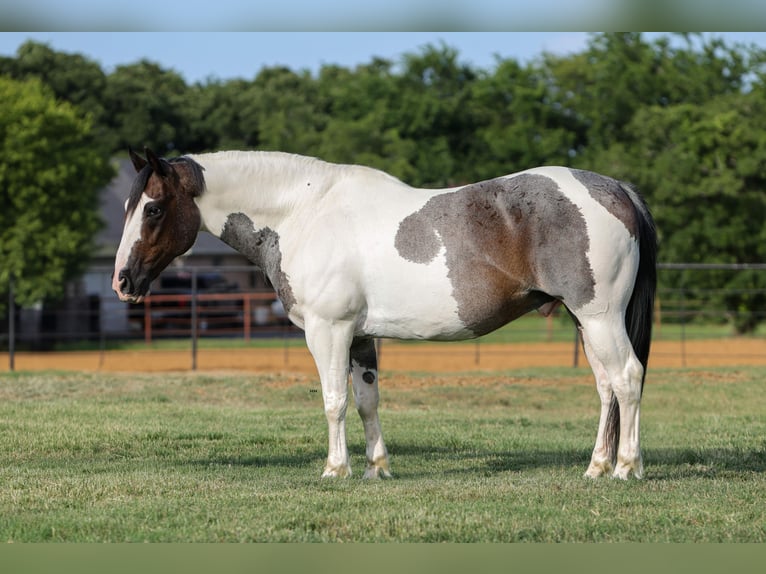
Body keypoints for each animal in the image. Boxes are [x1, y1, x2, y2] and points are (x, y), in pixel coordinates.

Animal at [113, 148, 657, 480]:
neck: (305, 212)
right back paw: (596, 467)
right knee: (606, 388)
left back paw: (626, 467)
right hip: (586, 322)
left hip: (600, 317)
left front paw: (336, 470)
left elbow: (333, 400)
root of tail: (616, 188)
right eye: (128, 206)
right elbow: (366, 401)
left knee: (628, 378)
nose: (123, 281)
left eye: (154, 209)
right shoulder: (359, 336)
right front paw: (378, 467)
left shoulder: (328, 331)